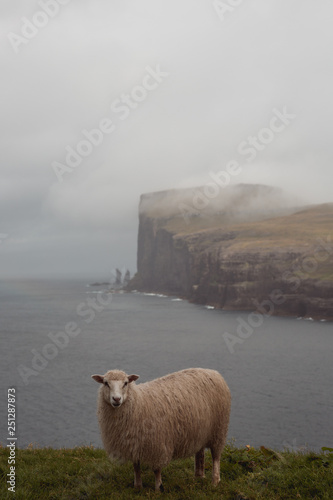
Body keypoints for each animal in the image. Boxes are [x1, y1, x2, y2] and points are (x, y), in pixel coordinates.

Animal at [91, 368, 231, 492]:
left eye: (125, 383)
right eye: (106, 383)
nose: (116, 399)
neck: (138, 404)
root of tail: (212, 372)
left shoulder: (158, 445)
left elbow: (157, 469)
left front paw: (158, 488)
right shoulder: (135, 444)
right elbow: (136, 466)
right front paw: (138, 486)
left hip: (219, 429)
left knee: (216, 457)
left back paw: (215, 481)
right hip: (201, 430)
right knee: (200, 452)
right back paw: (199, 476)